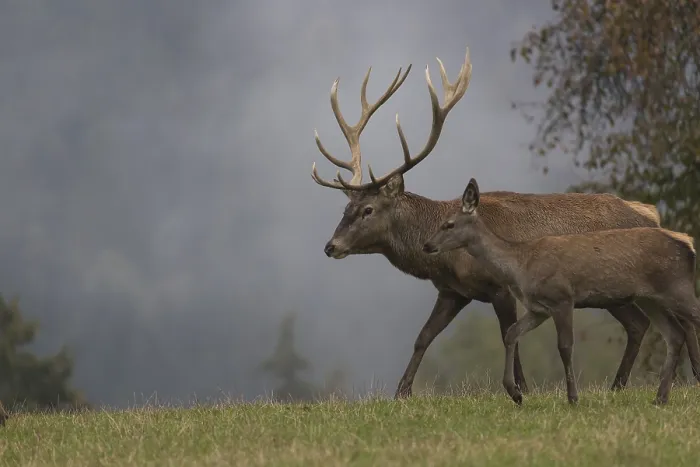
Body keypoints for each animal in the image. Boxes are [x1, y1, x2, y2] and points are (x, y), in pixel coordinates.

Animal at [423, 177, 700, 405]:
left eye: (449, 224)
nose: (427, 245)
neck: (520, 265)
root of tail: (688, 244)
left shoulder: (562, 298)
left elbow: (565, 346)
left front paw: (573, 398)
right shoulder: (538, 309)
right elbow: (512, 334)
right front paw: (515, 393)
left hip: (677, 288)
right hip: (651, 298)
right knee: (674, 334)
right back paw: (660, 398)